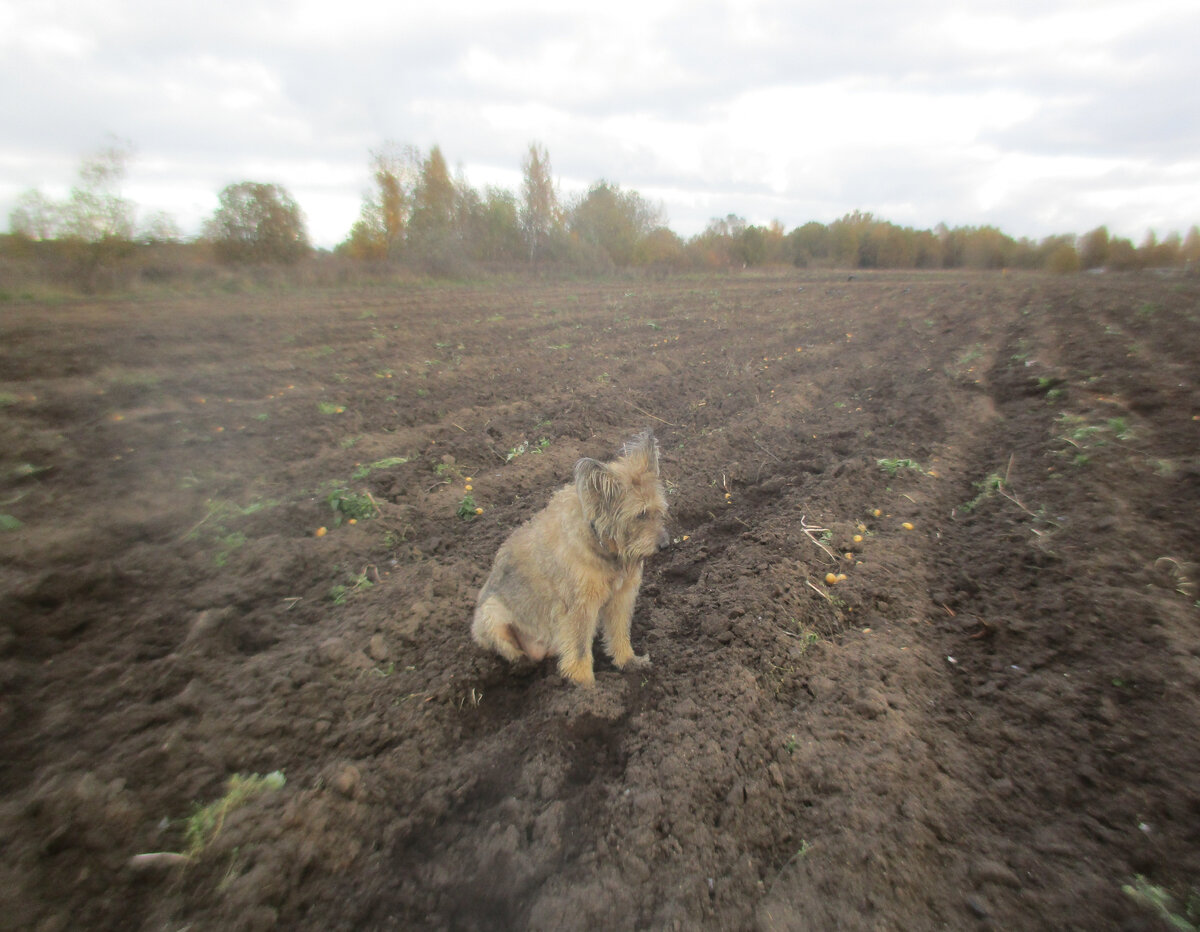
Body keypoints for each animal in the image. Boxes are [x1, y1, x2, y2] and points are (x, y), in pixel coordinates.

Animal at [472, 429, 672, 681]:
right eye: (640, 515)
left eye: (658, 510)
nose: (665, 545)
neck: (600, 542)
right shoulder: (579, 608)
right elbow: (578, 651)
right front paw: (585, 686)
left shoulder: (621, 597)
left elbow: (619, 633)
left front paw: (628, 662)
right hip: (492, 615)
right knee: (512, 651)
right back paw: (523, 666)